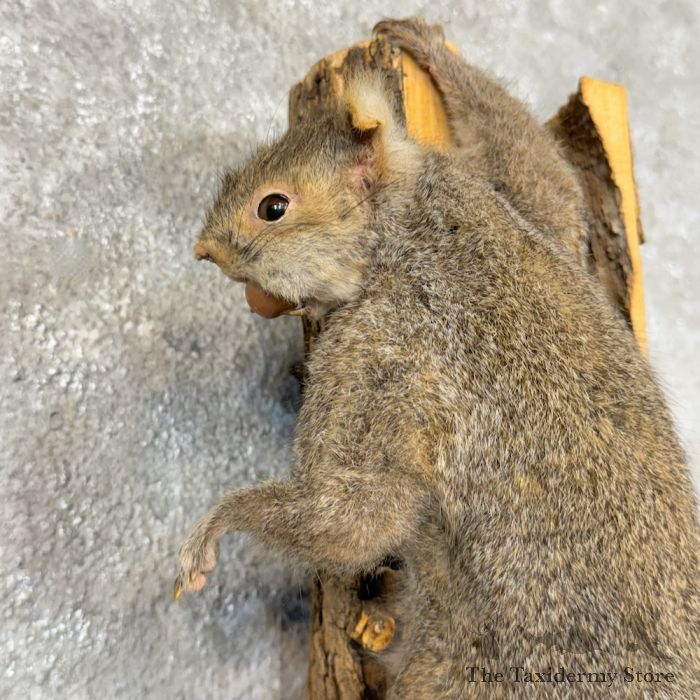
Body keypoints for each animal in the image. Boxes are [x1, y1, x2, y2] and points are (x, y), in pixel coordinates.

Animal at [175, 17, 700, 699]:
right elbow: (552, 188)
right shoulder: (522, 216)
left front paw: (219, 522)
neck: (417, 227)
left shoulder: (376, 351)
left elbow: (364, 512)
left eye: (272, 207)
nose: (204, 249)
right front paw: (429, 47)